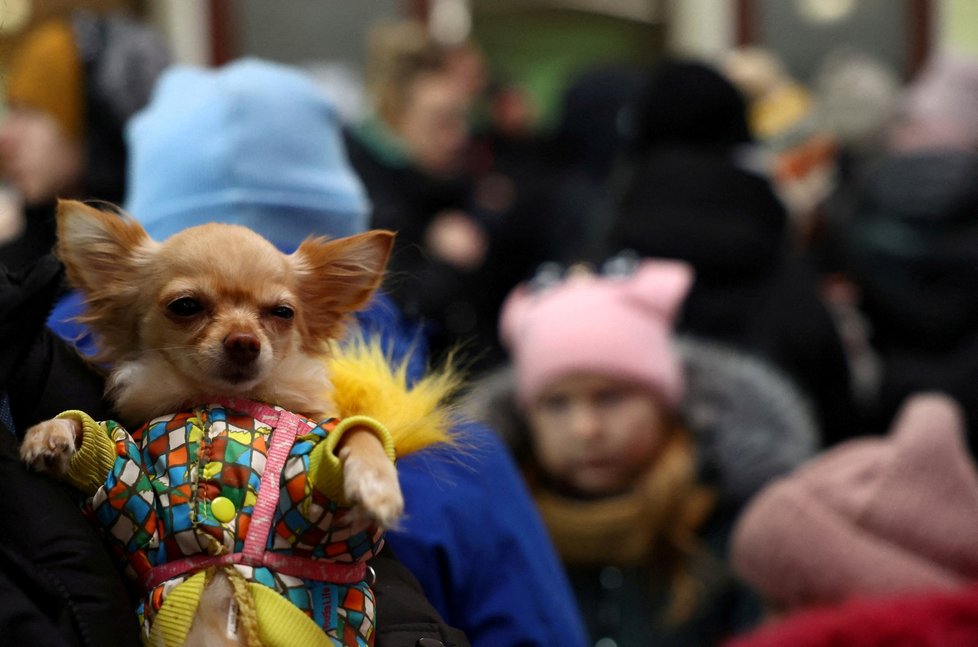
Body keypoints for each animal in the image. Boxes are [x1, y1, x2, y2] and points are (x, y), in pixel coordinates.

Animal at [21, 200, 412, 644]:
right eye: (185, 306)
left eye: (283, 313)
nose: (244, 341)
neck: (224, 403)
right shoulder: (141, 507)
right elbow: (116, 473)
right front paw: (56, 432)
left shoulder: (320, 526)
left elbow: (358, 435)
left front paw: (376, 483)